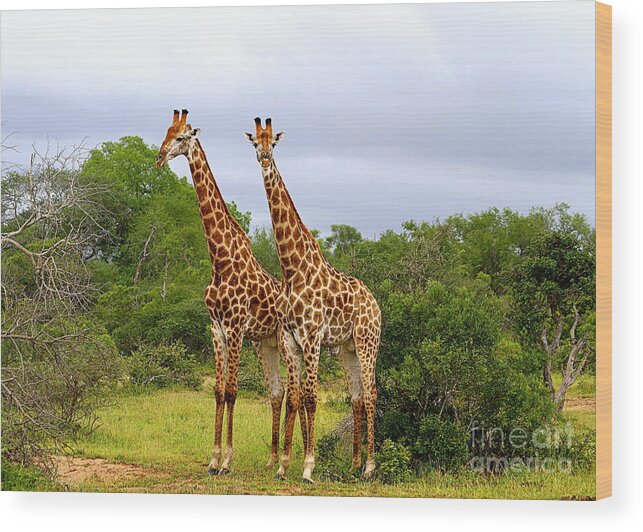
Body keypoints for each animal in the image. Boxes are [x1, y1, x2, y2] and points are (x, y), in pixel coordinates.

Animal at [156, 110, 290, 476]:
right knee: (276, 391)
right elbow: (217, 391)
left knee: (291, 390)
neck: (220, 258)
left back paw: (283, 460)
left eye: (181, 138)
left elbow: (232, 391)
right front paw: (213, 459)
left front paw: (228, 461)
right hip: (264, 344)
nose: (159, 158)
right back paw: (273, 459)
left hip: (281, 342)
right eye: (165, 133)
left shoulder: (235, 328)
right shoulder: (216, 328)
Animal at [244, 116, 380, 482]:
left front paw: (307, 467)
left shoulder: (312, 338)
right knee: (356, 396)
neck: (292, 269)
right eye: (254, 143)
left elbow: (311, 397)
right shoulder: (291, 340)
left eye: (274, 143)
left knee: (372, 394)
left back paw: (370, 467)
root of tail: (376, 303)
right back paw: (353, 464)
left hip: (368, 342)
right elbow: (295, 397)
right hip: (347, 348)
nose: (264, 159)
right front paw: (282, 465)